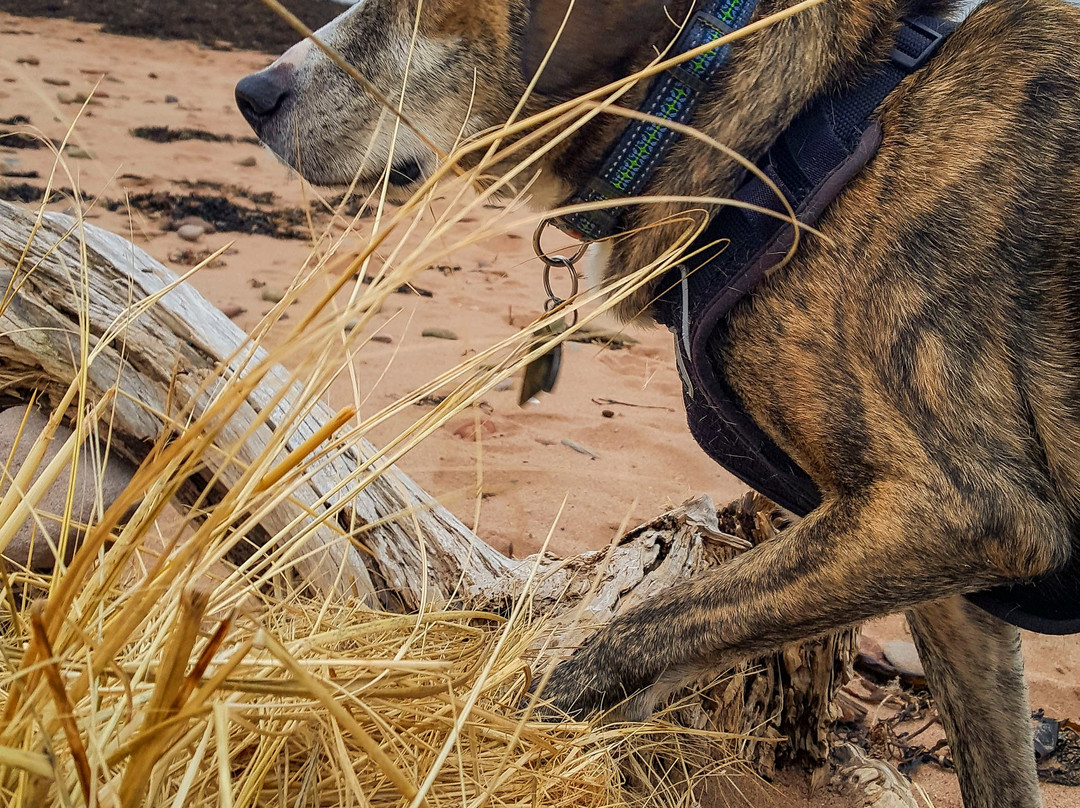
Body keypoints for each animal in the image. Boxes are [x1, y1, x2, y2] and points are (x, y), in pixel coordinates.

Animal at [238, 3, 1080, 803]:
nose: (251, 95)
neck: (790, 124)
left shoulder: (958, 509)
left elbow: (636, 633)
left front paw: (530, 719)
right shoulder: (958, 602)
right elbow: (997, 769)